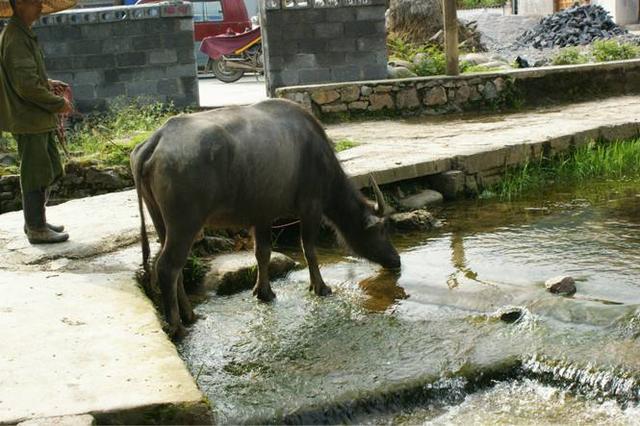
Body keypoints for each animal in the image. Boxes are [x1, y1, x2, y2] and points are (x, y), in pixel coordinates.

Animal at [130, 98, 400, 338]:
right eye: (381, 230)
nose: (396, 259)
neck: (318, 157)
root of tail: (156, 139)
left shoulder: (262, 216)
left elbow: (262, 253)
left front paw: (264, 292)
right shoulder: (310, 207)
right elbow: (308, 249)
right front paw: (320, 287)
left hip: (160, 220)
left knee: (173, 267)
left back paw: (190, 315)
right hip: (185, 223)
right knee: (168, 266)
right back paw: (177, 326)